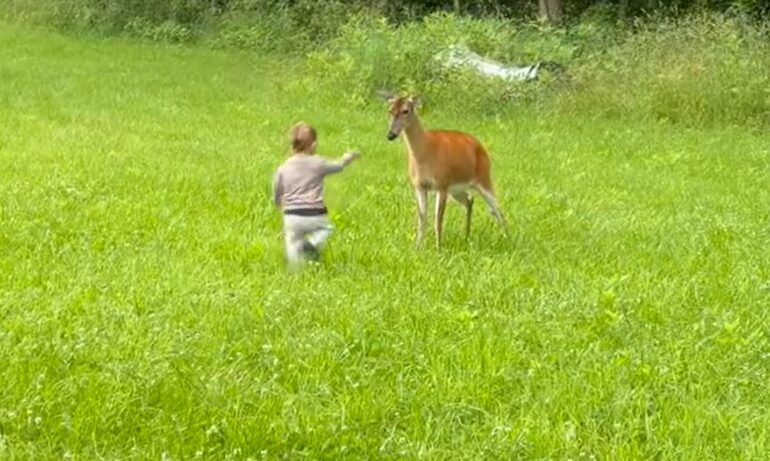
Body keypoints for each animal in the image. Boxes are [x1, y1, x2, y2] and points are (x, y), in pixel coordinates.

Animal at [377, 90, 508, 248]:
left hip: (484, 178)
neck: (425, 152)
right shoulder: (419, 186)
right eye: (389, 110)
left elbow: (438, 221)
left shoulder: (442, 184)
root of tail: (480, 146)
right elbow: (421, 220)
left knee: (497, 209)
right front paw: (417, 247)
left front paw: (438, 247)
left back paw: (508, 238)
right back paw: (466, 236)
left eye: (406, 110)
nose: (391, 134)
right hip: (457, 189)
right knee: (470, 200)